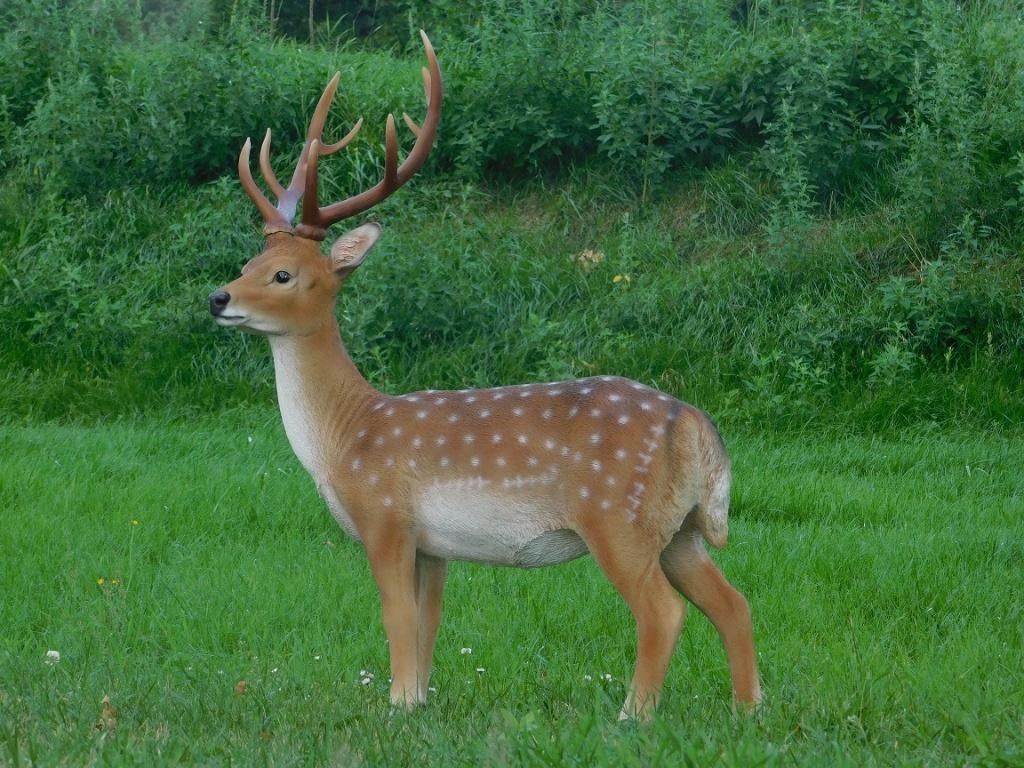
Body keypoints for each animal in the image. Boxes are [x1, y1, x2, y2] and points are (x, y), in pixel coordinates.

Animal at [208, 31, 761, 720]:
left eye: (284, 274)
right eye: (250, 261)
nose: (218, 298)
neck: (346, 435)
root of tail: (697, 427)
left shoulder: (386, 516)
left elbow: (396, 616)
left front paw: (395, 707)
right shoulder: (432, 544)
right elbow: (428, 622)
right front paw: (418, 702)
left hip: (618, 515)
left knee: (663, 612)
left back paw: (632, 716)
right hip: (679, 528)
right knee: (734, 603)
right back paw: (748, 710)